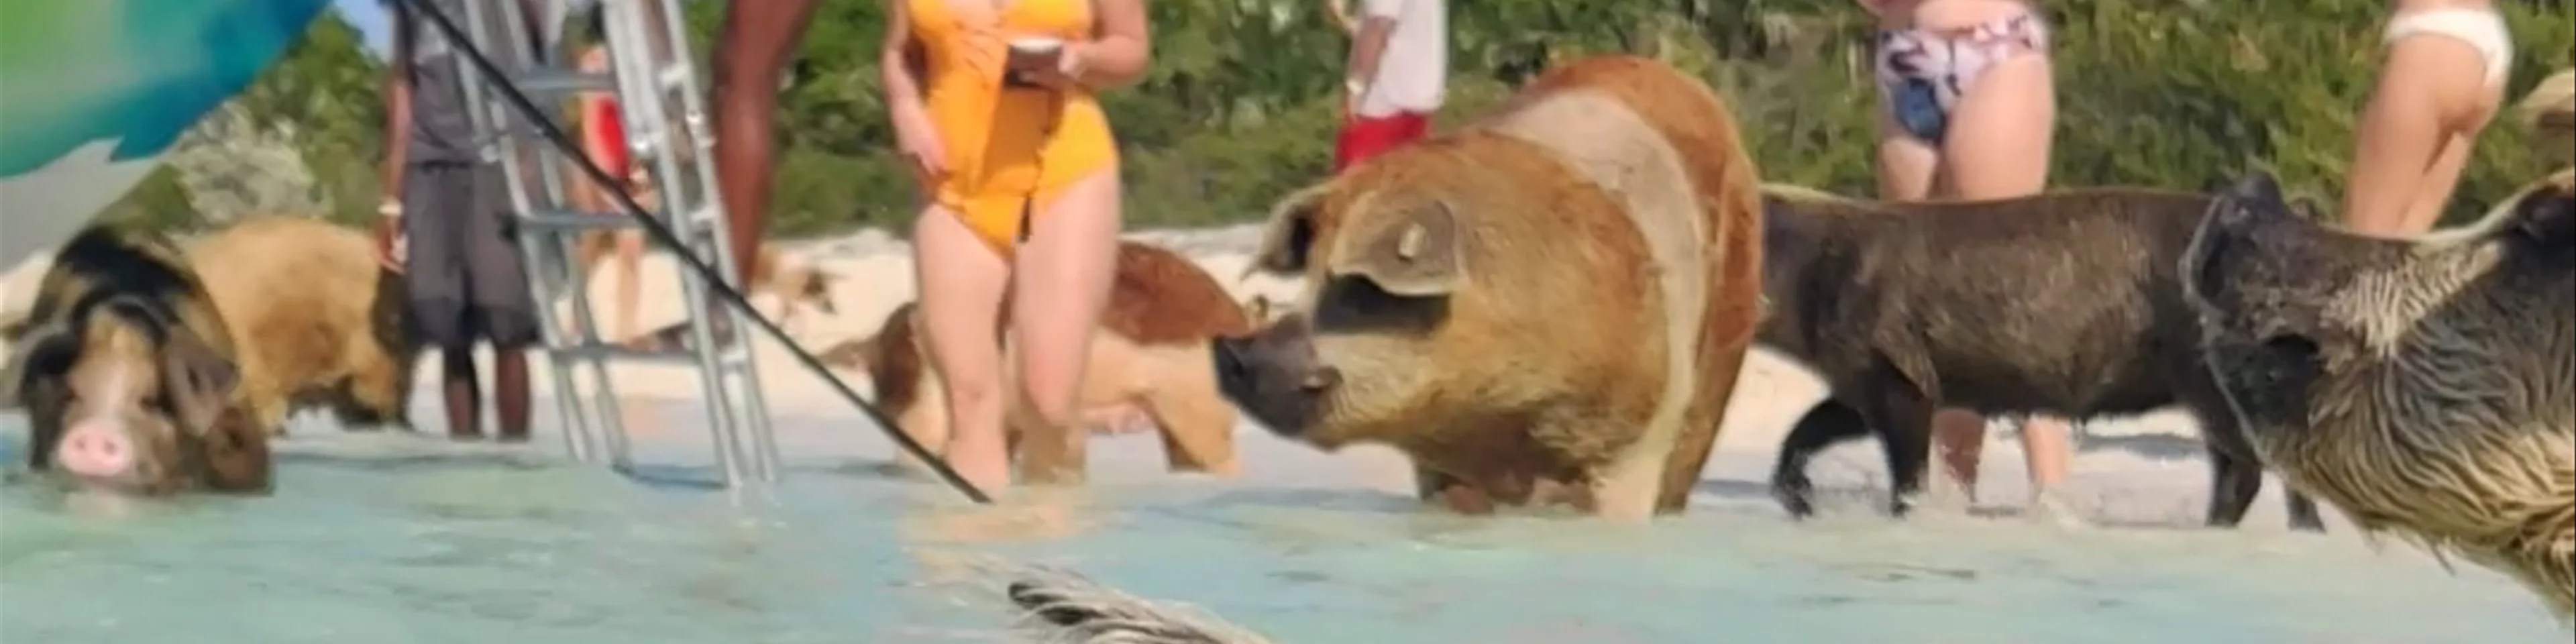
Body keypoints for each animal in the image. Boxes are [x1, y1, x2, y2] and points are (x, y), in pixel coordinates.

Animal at [1756, 184, 2324, 530]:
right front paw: (1798, 502)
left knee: (2248, 467)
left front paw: (1907, 514)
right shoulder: (1856, 377)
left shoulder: (1899, 369)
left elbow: (1906, 457)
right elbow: (1810, 426)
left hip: (2209, 379)